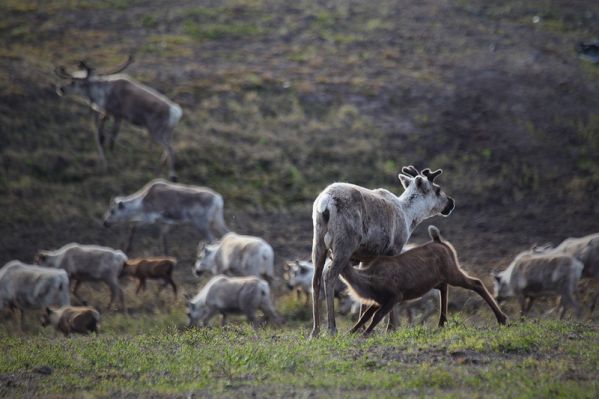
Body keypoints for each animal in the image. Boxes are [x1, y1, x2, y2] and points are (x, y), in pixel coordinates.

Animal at [342, 227, 506, 336]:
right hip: (440, 277)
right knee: (444, 288)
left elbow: (377, 315)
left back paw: (502, 319)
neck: (369, 283)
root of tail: (440, 241)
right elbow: (365, 316)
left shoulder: (395, 295)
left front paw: (365, 334)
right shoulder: (379, 300)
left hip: (452, 271)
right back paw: (441, 323)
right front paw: (351, 332)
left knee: (476, 282)